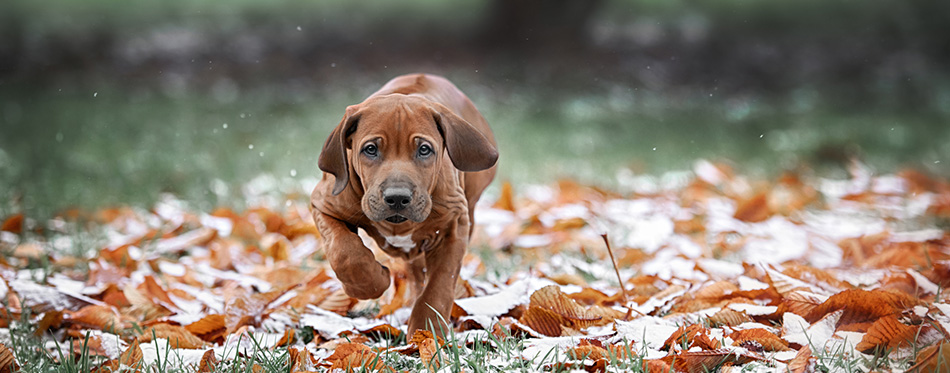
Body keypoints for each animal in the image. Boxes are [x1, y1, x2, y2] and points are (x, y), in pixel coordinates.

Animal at [312, 72, 502, 334]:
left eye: (424, 149)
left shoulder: (454, 227)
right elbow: (344, 251)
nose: (397, 198)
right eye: (370, 149)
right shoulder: (324, 205)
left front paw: (427, 331)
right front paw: (370, 284)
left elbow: (439, 286)